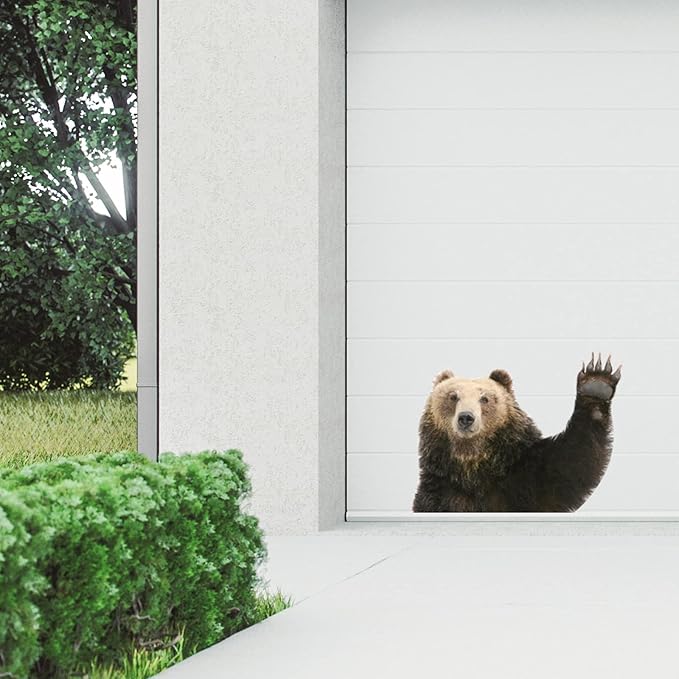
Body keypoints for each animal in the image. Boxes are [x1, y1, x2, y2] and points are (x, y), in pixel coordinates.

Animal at [412, 353, 621, 513]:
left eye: (484, 398)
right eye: (453, 396)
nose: (466, 417)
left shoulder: (523, 473)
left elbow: (571, 463)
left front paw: (596, 383)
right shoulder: (439, 491)